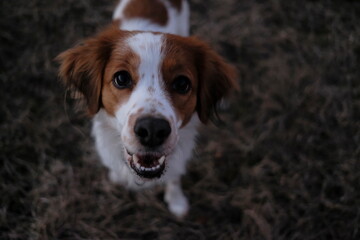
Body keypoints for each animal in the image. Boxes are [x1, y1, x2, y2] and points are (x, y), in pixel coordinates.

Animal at [56, 0, 238, 218]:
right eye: (121, 78)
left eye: (182, 83)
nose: (152, 130)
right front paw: (117, 177)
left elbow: (174, 177)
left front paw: (176, 201)